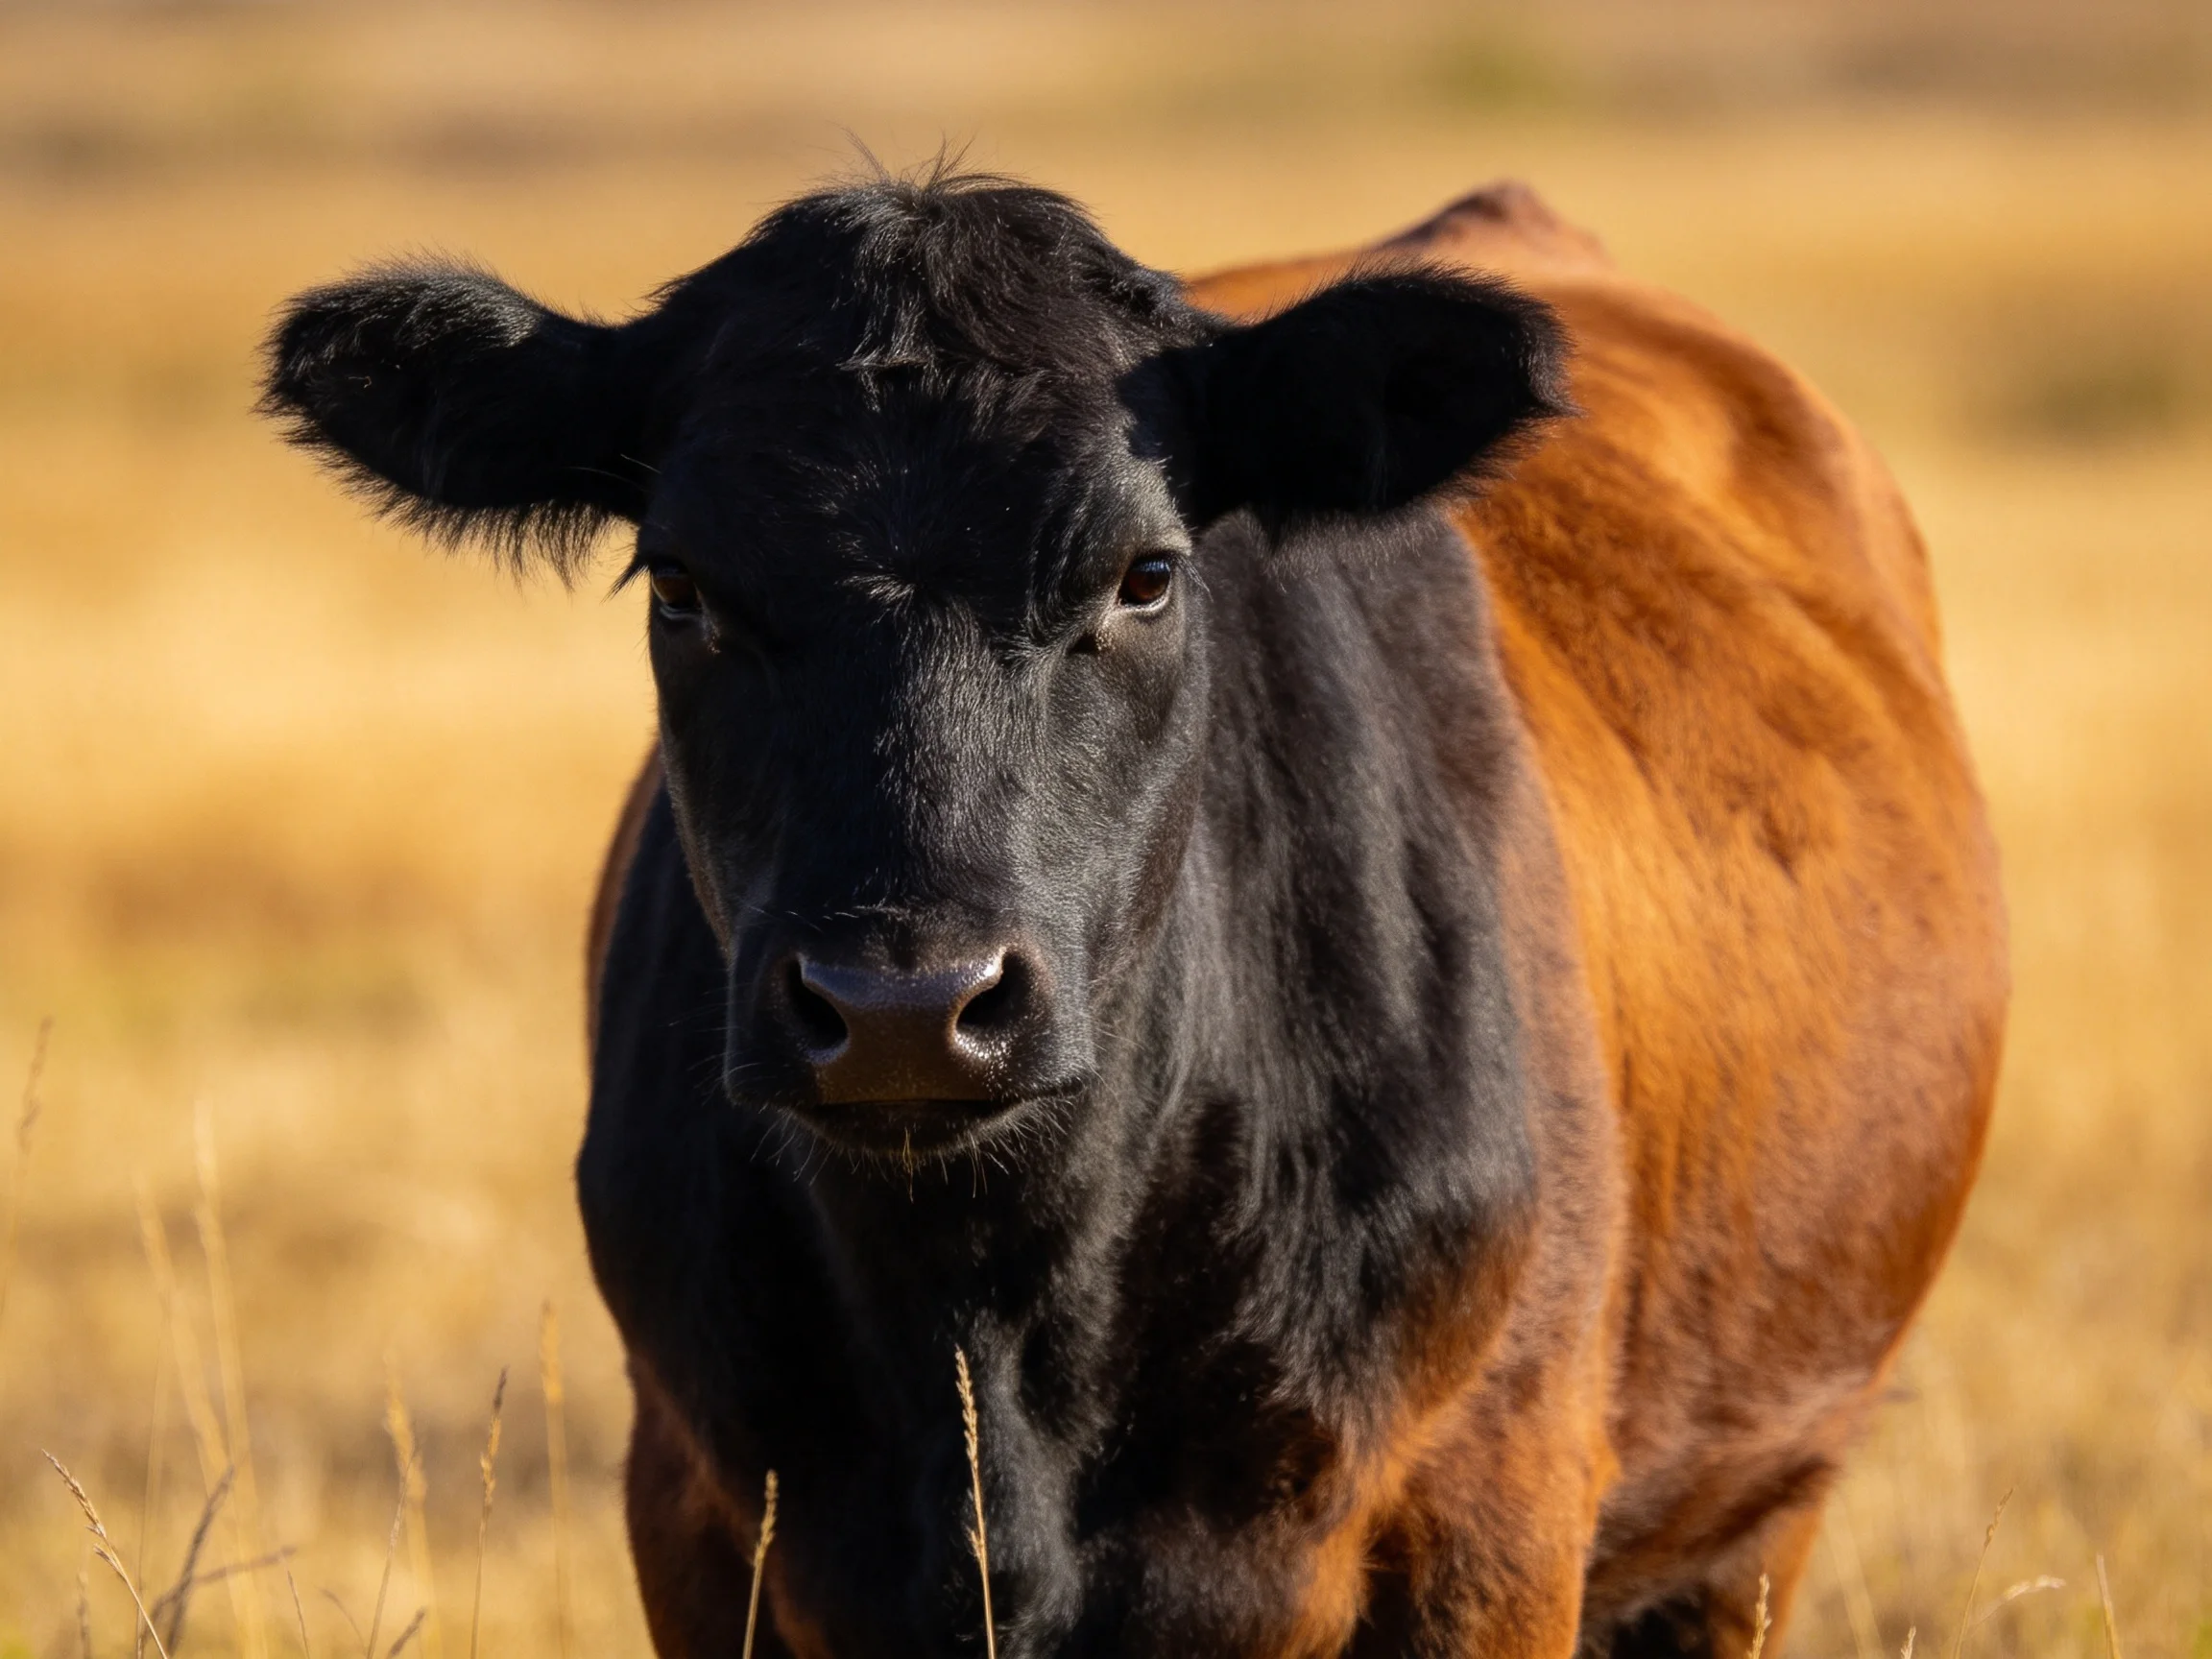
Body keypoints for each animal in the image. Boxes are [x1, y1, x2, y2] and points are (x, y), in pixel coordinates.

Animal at [261, 171, 2007, 1659]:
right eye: (681, 585)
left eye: (1145, 574)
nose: (902, 1004)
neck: (992, 1334)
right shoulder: (698, 1521)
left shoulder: (1488, 1525)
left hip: (1750, 1520)